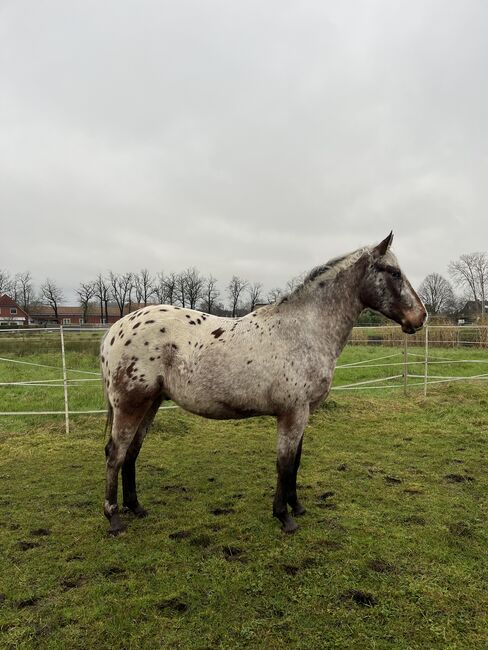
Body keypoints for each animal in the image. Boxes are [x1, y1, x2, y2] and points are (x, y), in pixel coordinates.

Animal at [100, 232, 428, 532]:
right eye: (394, 272)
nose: (421, 317)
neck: (304, 331)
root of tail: (114, 330)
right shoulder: (292, 413)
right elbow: (284, 463)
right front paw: (284, 517)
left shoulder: (304, 412)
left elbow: (296, 461)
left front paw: (297, 507)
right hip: (131, 403)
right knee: (115, 453)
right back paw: (114, 519)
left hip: (151, 402)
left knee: (132, 451)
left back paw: (136, 507)